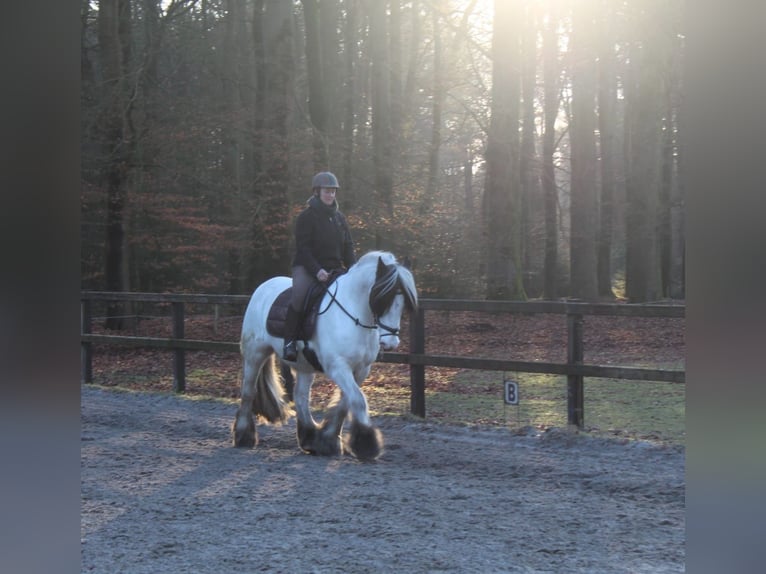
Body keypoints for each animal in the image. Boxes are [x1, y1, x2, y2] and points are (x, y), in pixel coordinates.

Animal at [232, 250, 418, 460]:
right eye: (381, 300)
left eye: (402, 303)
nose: (391, 343)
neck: (354, 314)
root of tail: (263, 287)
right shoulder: (338, 367)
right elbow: (357, 400)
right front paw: (366, 444)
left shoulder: (361, 369)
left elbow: (346, 404)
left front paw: (328, 440)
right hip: (255, 354)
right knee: (248, 391)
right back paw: (243, 436)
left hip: (304, 365)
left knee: (301, 396)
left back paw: (308, 437)